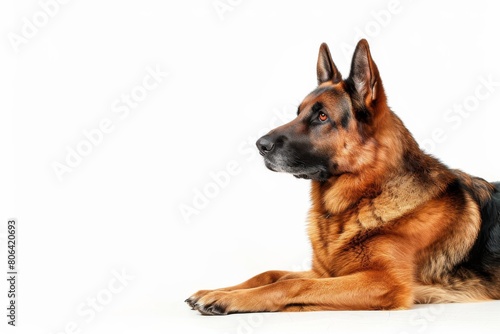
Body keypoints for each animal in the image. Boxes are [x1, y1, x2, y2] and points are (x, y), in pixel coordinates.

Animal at [186, 39, 500, 316]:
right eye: (298, 112)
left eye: (322, 117)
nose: (260, 145)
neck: (364, 196)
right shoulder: (324, 272)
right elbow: (270, 274)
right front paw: (218, 290)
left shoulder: (383, 282)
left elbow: (293, 285)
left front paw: (228, 298)